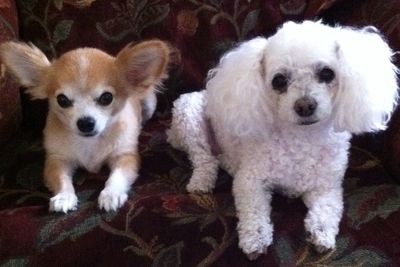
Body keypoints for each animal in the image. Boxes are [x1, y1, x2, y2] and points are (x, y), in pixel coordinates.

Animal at [0, 40, 172, 214]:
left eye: (106, 98)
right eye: (62, 100)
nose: (85, 123)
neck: (90, 143)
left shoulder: (125, 156)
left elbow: (117, 176)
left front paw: (111, 194)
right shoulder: (57, 159)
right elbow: (61, 179)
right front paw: (64, 197)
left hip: (150, 103)